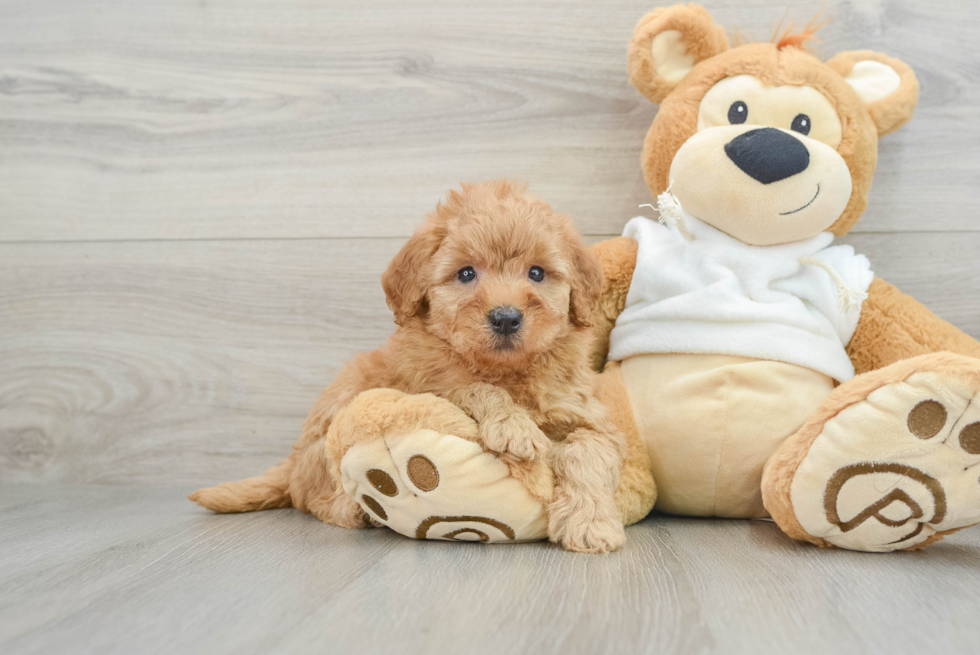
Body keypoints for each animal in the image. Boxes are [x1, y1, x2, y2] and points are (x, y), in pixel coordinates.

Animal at [191, 179, 628, 552]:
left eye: (537, 272)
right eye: (466, 273)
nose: (505, 317)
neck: (506, 370)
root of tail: (294, 459)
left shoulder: (587, 415)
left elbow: (587, 452)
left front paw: (590, 524)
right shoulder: (428, 384)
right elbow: (471, 388)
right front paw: (514, 427)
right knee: (312, 496)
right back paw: (357, 511)